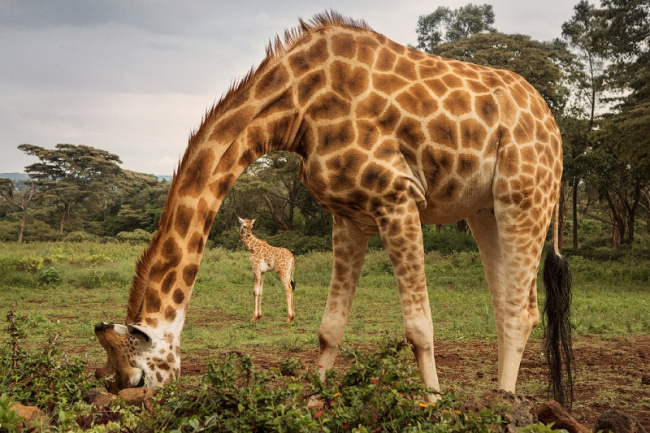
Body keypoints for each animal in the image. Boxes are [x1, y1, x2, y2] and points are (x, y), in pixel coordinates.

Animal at [93, 11, 568, 406]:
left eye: (136, 378)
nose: (144, 407)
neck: (298, 108)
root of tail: (553, 126)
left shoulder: (398, 197)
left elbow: (418, 328)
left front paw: (433, 404)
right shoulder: (349, 215)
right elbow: (329, 328)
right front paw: (312, 399)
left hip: (525, 194)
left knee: (521, 310)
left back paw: (504, 404)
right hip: (483, 210)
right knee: (507, 302)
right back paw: (500, 396)